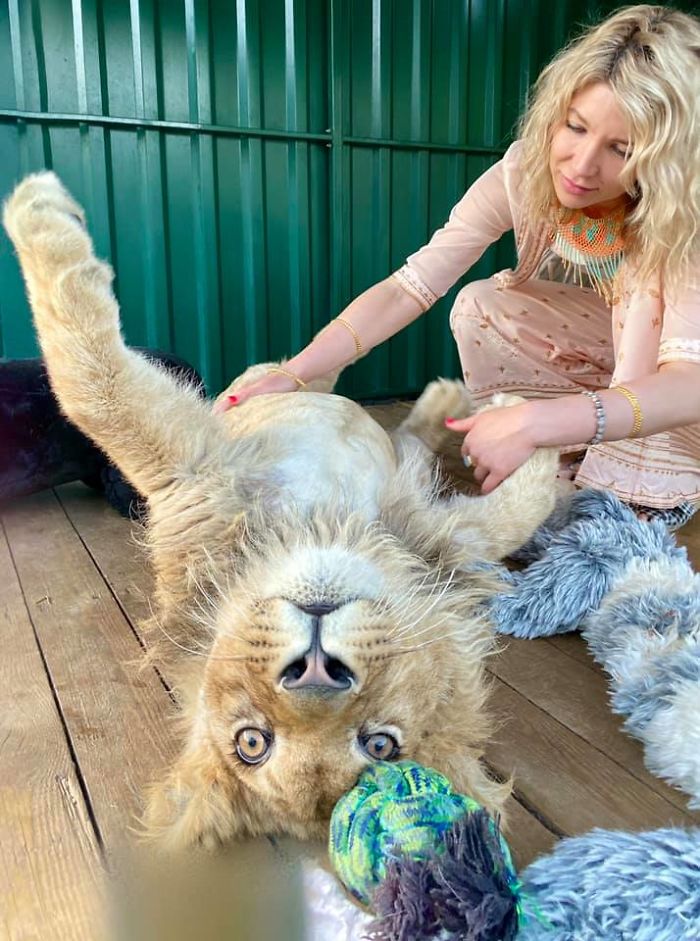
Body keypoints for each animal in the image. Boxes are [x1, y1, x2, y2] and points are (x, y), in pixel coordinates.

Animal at [3, 173, 558, 851]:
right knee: (323, 376)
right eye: (253, 744)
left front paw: (527, 428)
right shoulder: (197, 470)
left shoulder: (430, 533)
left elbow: (93, 382)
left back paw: (446, 400)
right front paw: (39, 206)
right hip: (259, 391)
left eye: (380, 744)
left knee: (379, 420)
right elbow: (92, 384)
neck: (323, 522)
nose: (316, 672)